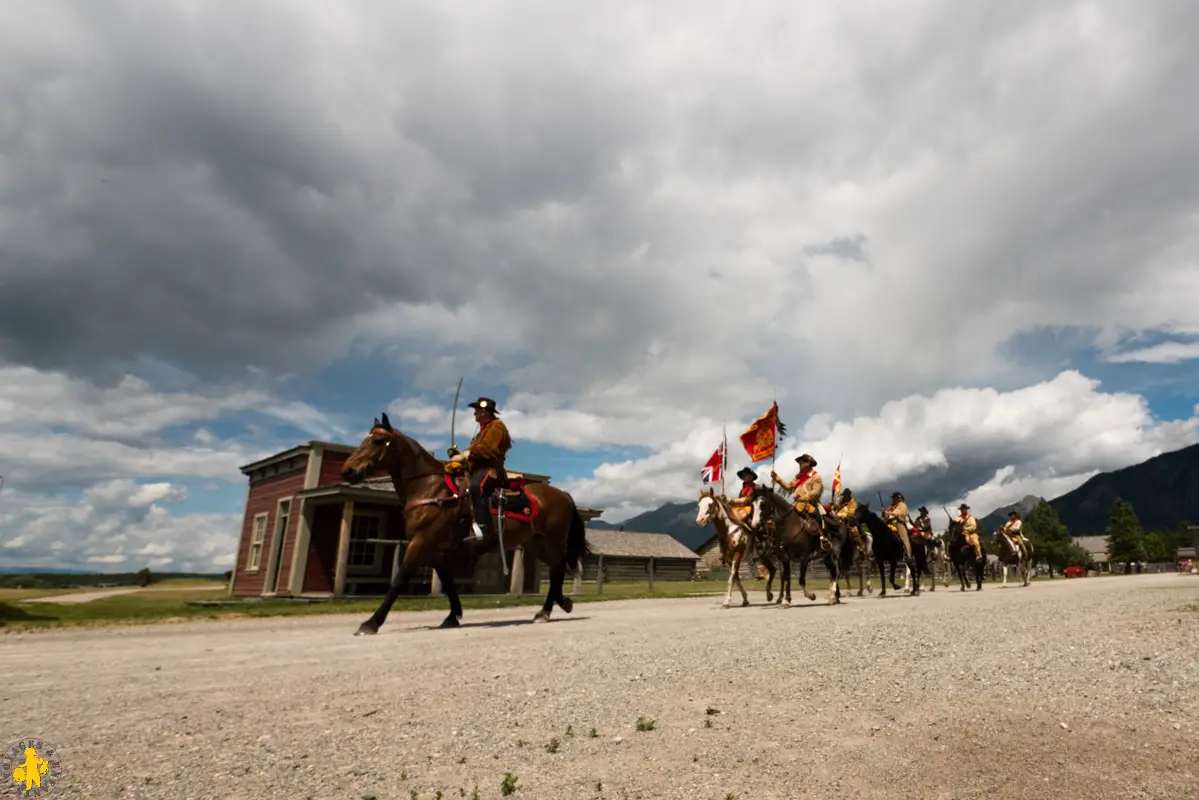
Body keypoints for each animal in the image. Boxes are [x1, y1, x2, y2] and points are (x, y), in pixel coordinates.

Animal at [340, 417, 587, 633]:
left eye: (378, 441)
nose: (348, 471)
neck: (430, 489)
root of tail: (563, 494)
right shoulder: (434, 549)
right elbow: (447, 581)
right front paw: (452, 616)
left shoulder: (420, 542)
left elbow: (399, 580)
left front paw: (371, 623)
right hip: (535, 543)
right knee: (556, 568)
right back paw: (559, 604)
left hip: (553, 540)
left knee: (557, 568)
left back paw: (546, 611)